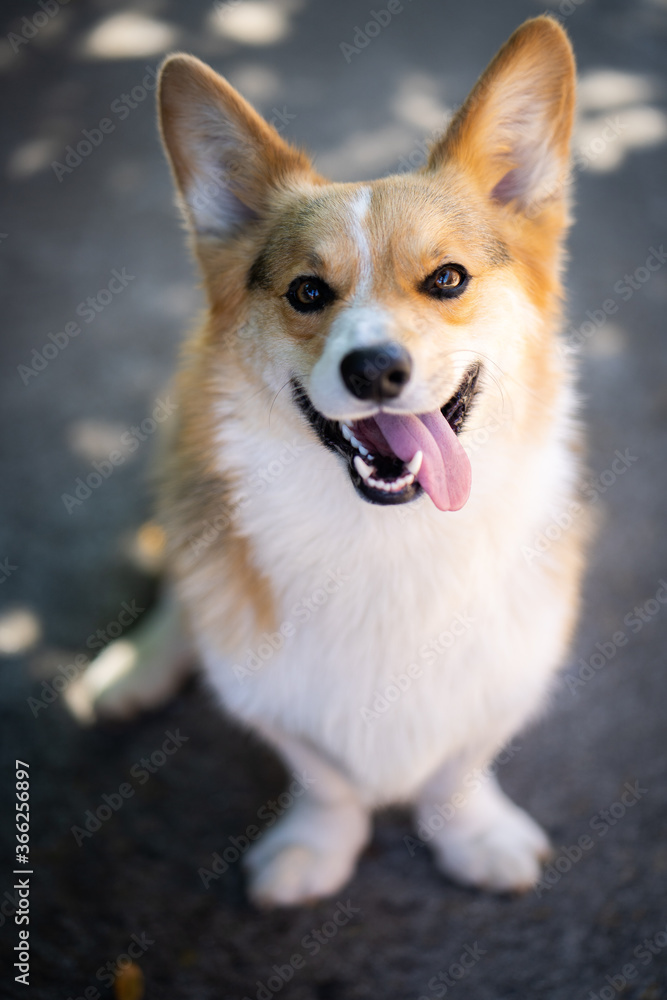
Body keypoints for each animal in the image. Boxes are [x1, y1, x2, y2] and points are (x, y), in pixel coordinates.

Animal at [73, 15, 588, 908]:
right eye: (307, 292)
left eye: (446, 279)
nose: (373, 370)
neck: (388, 540)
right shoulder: (268, 690)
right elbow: (325, 776)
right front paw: (317, 846)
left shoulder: (509, 671)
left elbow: (459, 764)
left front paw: (472, 834)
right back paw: (134, 667)